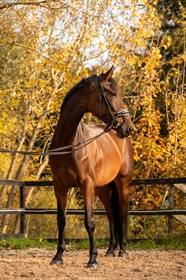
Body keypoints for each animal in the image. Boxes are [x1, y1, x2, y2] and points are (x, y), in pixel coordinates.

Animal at [49, 65, 134, 266]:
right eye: (112, 94)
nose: (128, 127)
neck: (69, 143)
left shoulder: (86, 185)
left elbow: (89, 221)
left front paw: (93, 259)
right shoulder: (60, 186)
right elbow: (61, 219)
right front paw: (58, 256)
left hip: (122, 183)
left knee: (122, 213)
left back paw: (122, 251)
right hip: (103, 187)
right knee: (111, 214)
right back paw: (110, 250)